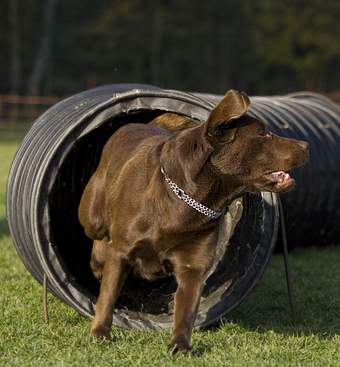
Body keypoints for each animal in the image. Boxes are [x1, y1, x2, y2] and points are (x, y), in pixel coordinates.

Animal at [78, 89, 310, 354]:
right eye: (263, 134)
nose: (307, 145)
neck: (187, 198)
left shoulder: (193, 265)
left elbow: (186, 309)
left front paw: (180, 345)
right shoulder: (122, 252)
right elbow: (107, 295)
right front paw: (100, 333)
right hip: (92, 213)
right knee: (98, 237)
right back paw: (98, 261)